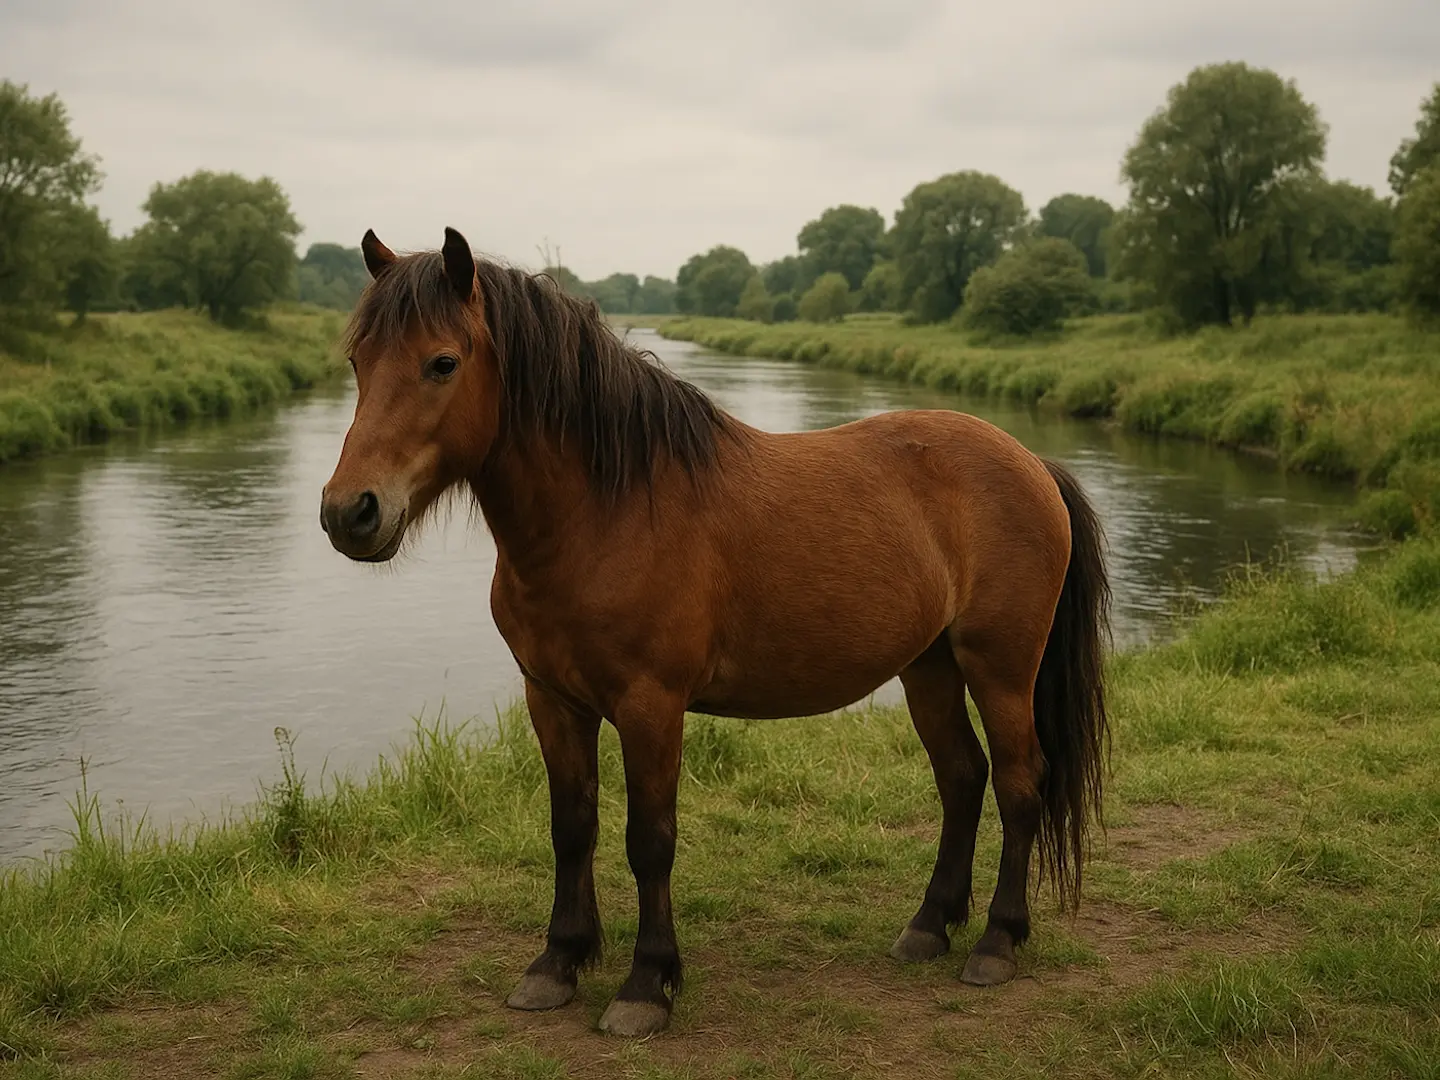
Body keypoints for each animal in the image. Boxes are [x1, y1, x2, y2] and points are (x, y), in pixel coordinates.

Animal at [320, 227, 1111, 1038]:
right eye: (357, 362)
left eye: (443, 362)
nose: (350, 511)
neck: (605, 512)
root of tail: (1032, 463)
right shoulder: (553, 701)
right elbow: (572, 827)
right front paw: (557, 964)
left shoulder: (650, 706)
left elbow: (650, 841)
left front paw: (646, 984)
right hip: (930, 667)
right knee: (962, 777)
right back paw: (928, 927)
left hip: (1001, 668)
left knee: (1019, 783)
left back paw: (996, 942)